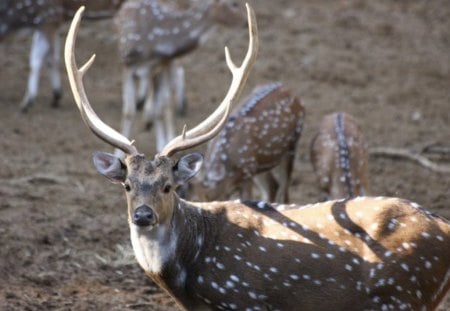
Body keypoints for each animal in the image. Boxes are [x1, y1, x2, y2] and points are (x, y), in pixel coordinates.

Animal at [112, 0, 246, 156]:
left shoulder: (163, 62)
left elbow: (162, 106)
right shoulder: (128, 64)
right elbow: (128, 112)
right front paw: (119, 153)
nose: (245, 22)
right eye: (234, 4)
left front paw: (163, 144)